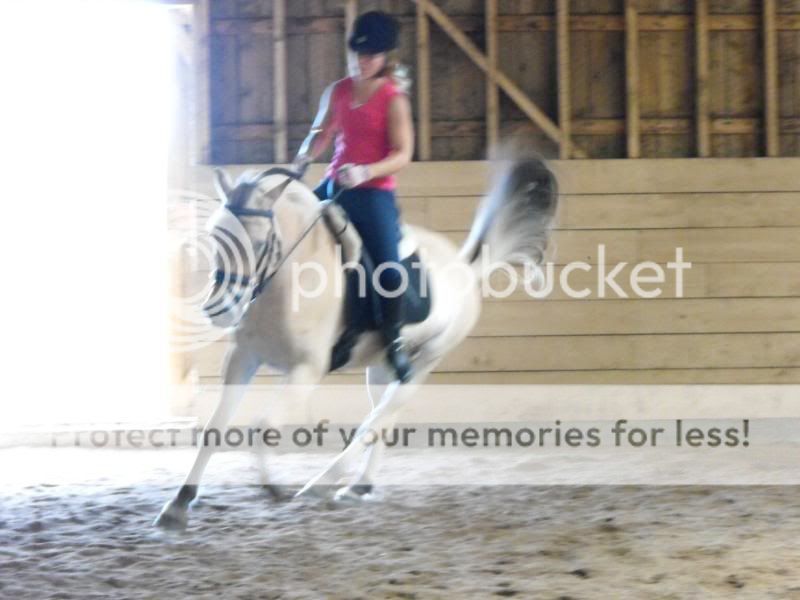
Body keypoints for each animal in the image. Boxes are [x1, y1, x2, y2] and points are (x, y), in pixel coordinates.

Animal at [155, 152, 556, 528]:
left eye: (258, 241)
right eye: (215, 235)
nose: (220, 309)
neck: (287, 277)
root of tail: (465, 269)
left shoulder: (306, 369)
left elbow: (263, 427)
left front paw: (272, 486)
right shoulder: (243, 358)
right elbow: (214, 429)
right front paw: (178, 503)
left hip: (425, 361)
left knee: (376, 421)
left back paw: (321, 483)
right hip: (382, 368)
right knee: (385, 417)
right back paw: (358, 485)